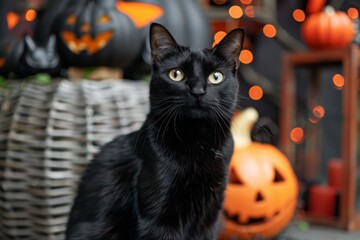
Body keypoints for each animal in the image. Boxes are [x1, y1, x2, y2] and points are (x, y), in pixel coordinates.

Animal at [65, 23, 245, 240]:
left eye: (215, 77)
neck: (197, 141)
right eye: (176, 74)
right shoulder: (158, 219)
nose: (197, 91)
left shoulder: (209, 218)